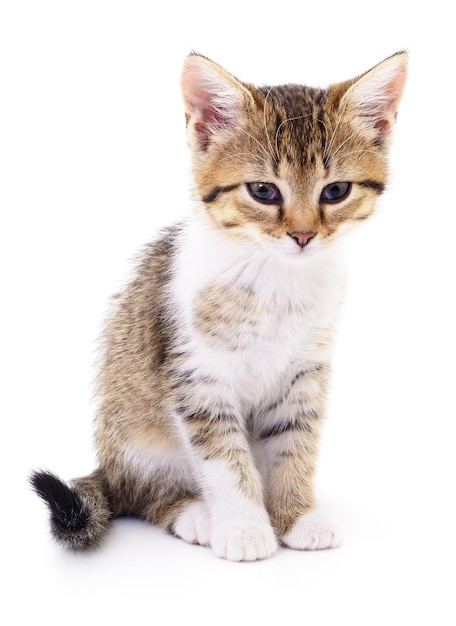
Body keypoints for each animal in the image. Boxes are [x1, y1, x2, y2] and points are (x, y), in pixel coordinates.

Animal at [33, 52, 410, 560]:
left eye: (335, 191)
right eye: (264, 191)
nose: (303, 235)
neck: (276, 279)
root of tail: (107, 465)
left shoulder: (304, 374)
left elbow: (296, 445)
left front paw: (296, 515)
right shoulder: (197, 379)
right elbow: (225, 459)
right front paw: (246, 528)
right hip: (137, 438)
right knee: (141, 494)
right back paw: (194, 514)